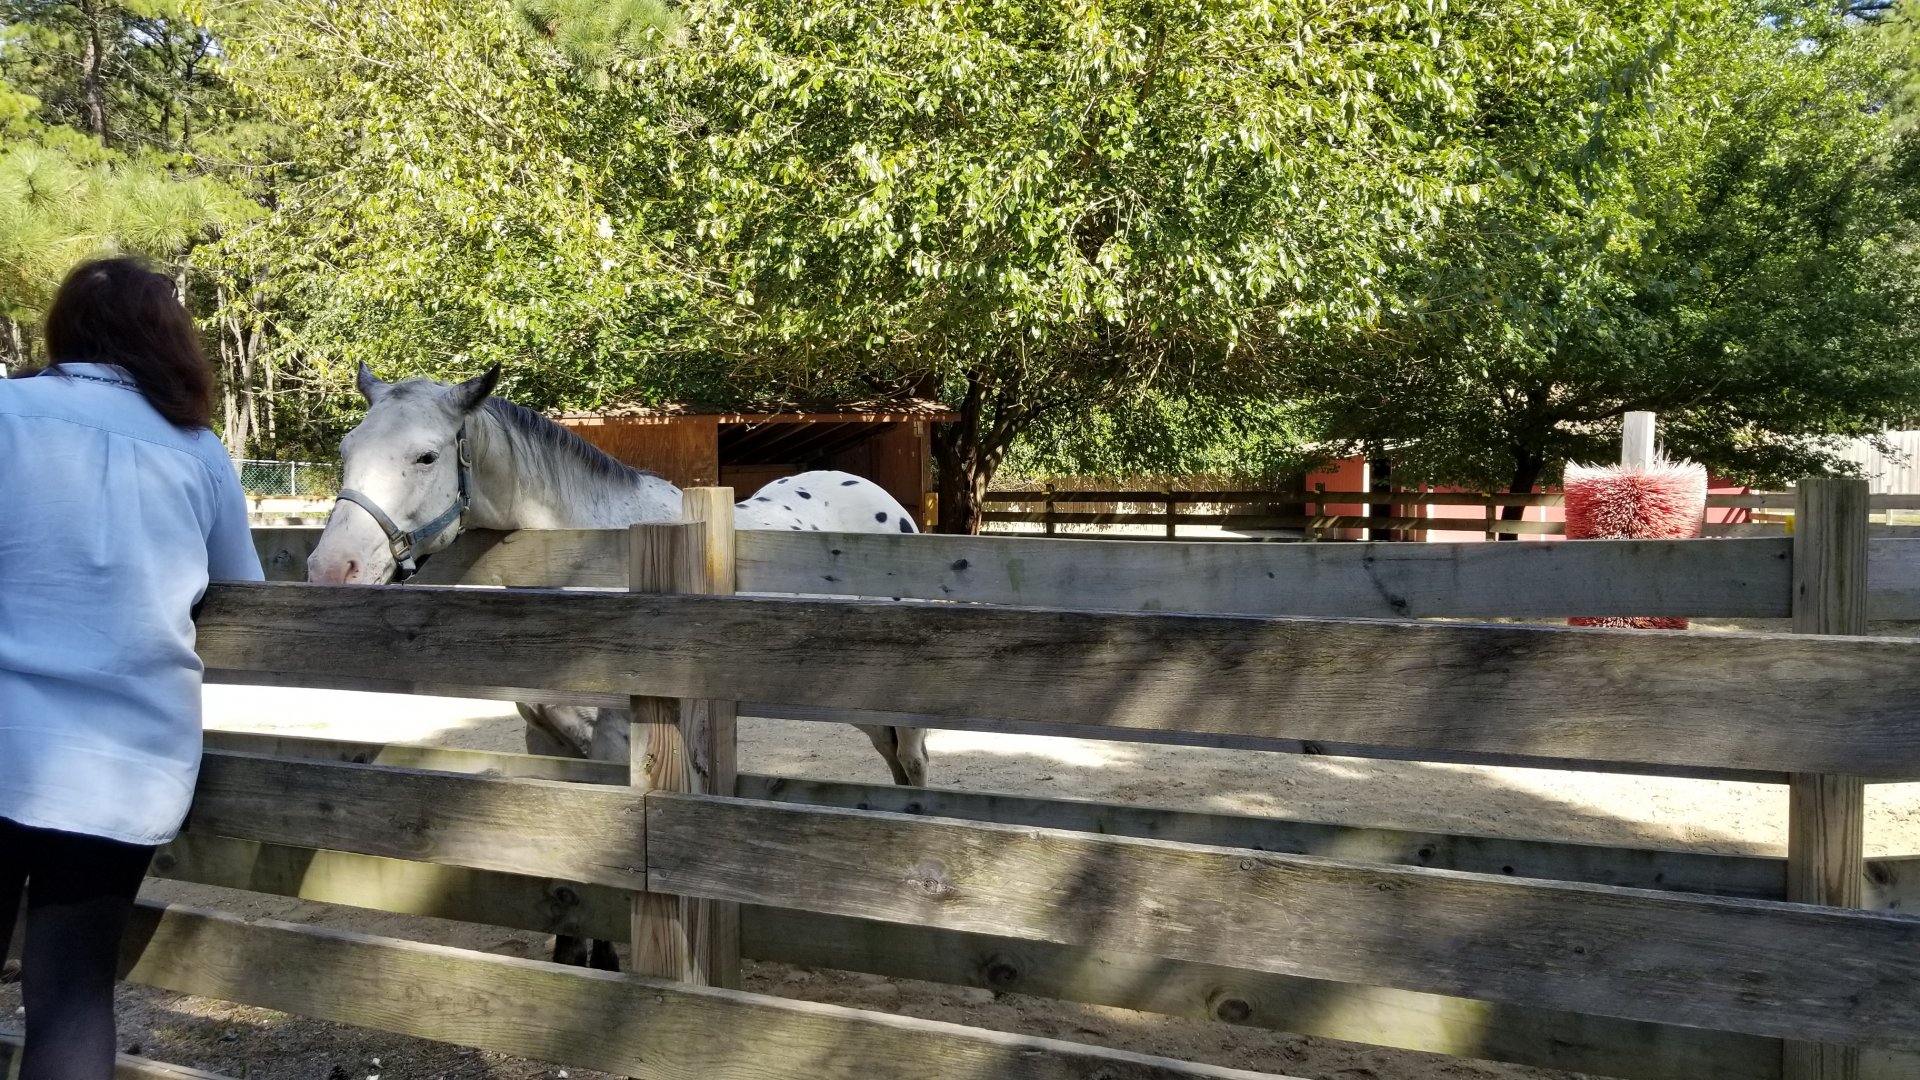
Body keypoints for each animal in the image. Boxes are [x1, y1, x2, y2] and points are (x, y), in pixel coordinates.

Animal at [305, 362, 931, 968]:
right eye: (347, 449)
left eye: (426, 456)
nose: (332, 570)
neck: (585, 559)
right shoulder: (546, 739)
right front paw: (569, 951)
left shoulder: (614, 741)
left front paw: (604, 955)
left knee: (914, 763)